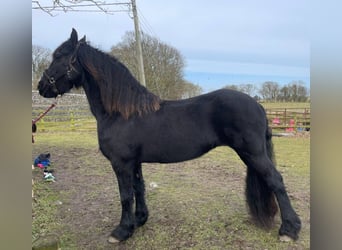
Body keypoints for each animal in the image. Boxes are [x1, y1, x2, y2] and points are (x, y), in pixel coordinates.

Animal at [36, 28, 300, 242]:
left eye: (58, 56)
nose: (41, 87)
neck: (121, 113)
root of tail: (257, 105)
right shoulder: (134, 162)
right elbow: (139, 188)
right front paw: (139, 220)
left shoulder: (121, 163)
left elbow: (125, 195)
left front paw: (121, 232)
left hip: (252, 153)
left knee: (276, 181)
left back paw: (289, 230)